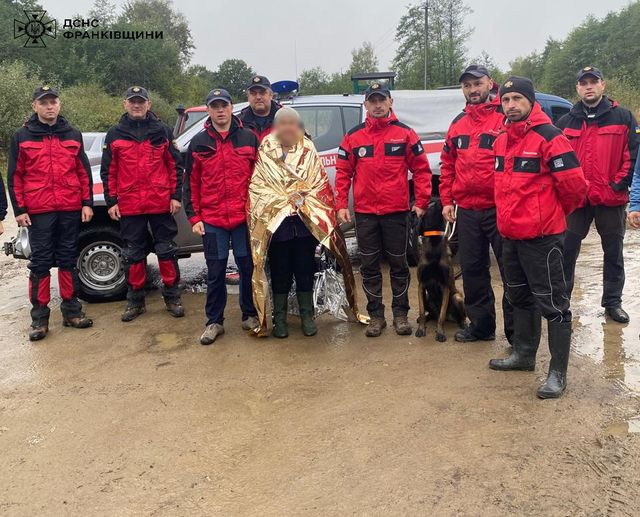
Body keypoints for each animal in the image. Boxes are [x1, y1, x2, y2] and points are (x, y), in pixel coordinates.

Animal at [416, 200, 464, 340]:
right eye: (429, 206)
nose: (439, 200)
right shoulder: (421, 285)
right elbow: (422, 311)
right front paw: (421, 329)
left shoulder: (445, 287)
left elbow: (441, 316)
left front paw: (440, 333)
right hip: (427, 297)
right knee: (431, 314)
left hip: (457, 297)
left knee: (458, 316)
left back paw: (463, 326)